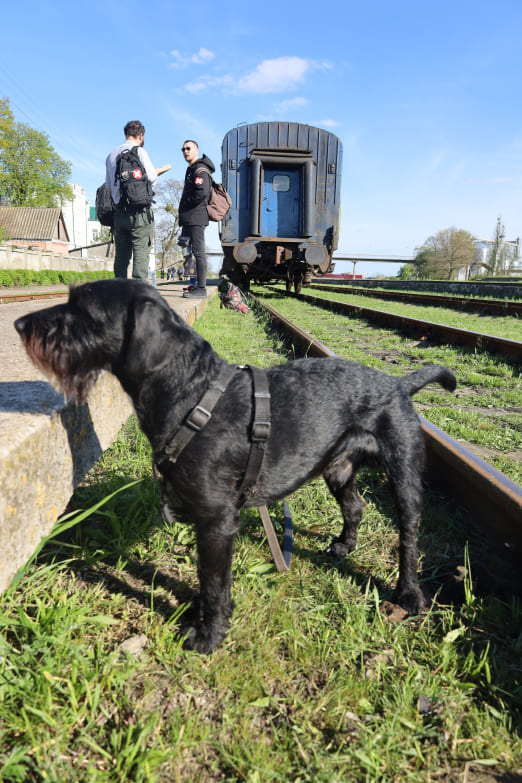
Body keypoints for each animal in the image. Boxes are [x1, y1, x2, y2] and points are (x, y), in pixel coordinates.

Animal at [14, 282, 456, 656]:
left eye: (81, 308)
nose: (19, 324)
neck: (190, 391)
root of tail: (398, 384)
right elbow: (207, 577)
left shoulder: (216, 520)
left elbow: (213, 582)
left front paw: (208, 635)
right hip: (339, 468)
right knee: (355, 505)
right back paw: (345, 546)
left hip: (403, 474)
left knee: (408, 536)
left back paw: (409, 594)